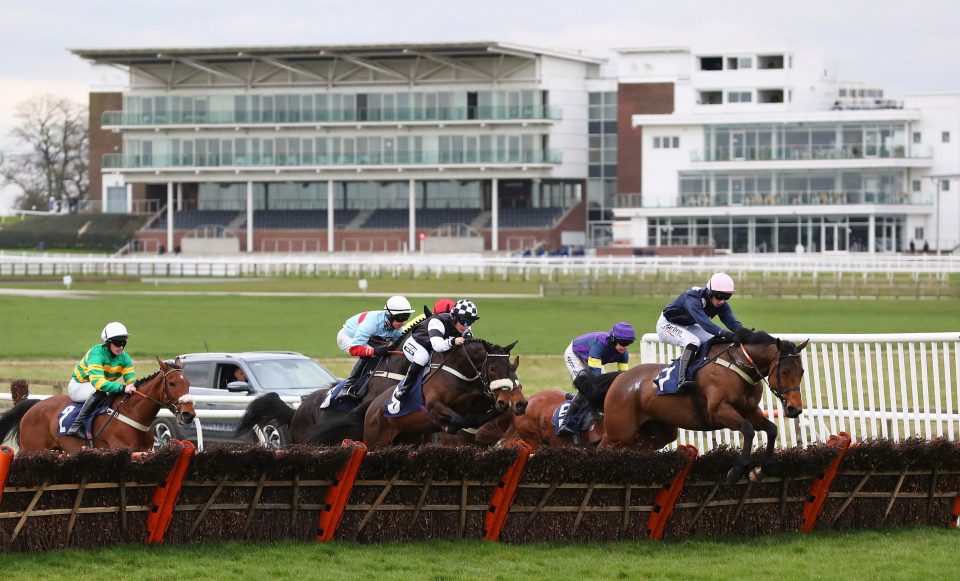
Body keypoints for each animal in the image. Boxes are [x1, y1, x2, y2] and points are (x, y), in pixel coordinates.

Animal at [0, 358, 195, 454]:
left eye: (188, 383)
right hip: (32, 450)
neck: (132, 415)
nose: (189, 414)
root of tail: (35, 405)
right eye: (172, 383)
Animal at [604, 328, 808, 482]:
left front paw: (759, 470)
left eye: (802, 372)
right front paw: (736, 471)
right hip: (619, 433)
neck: (738, 365)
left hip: (657, 433)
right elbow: (748, 430)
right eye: (785, 371)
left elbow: (772, 429)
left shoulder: (750, 410)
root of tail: (621, 378)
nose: (795, 408)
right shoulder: (719, 411)